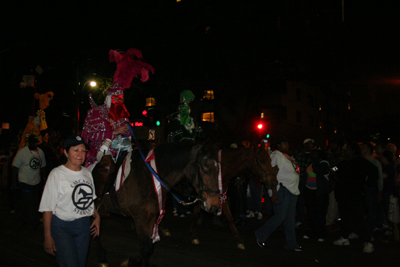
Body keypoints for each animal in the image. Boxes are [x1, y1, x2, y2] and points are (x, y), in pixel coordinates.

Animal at [92, 141, 220, 266]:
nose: (214, 206)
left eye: (218, 170)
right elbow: (146, 248)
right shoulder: (140, 218)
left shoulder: (150, 216)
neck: (146, 177)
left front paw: (134, 260)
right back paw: (101, 256)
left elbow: (148, 247)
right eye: (205, 170)